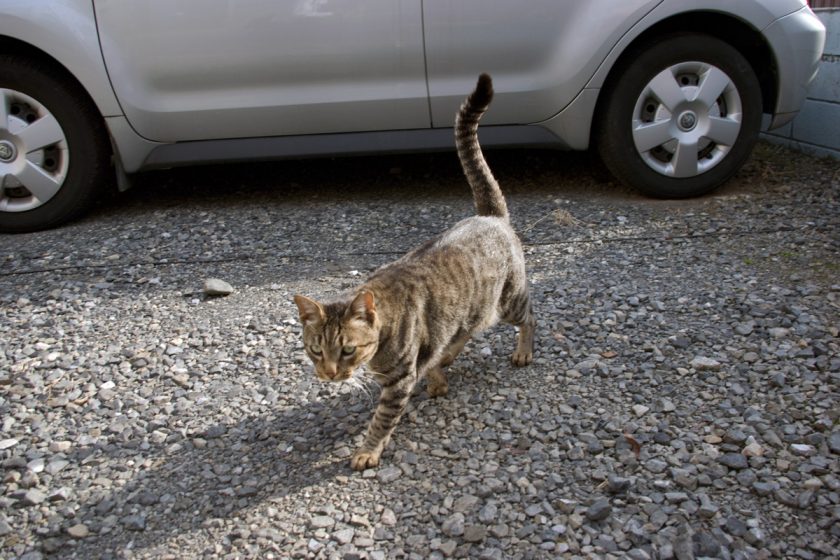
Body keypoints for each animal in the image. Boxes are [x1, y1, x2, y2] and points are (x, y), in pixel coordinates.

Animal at [292, 73, 536, 468]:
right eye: (315, 350)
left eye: (347, 350)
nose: (328, 374)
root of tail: (489, 216)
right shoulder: (426, 344)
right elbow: (432, 359)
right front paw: (437, 379)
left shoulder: (399, 382)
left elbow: (381, 420)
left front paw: (367, 450)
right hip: (471, 307)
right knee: (465, 330)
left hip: (509, 300)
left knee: (530, 316)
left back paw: (523, 350)